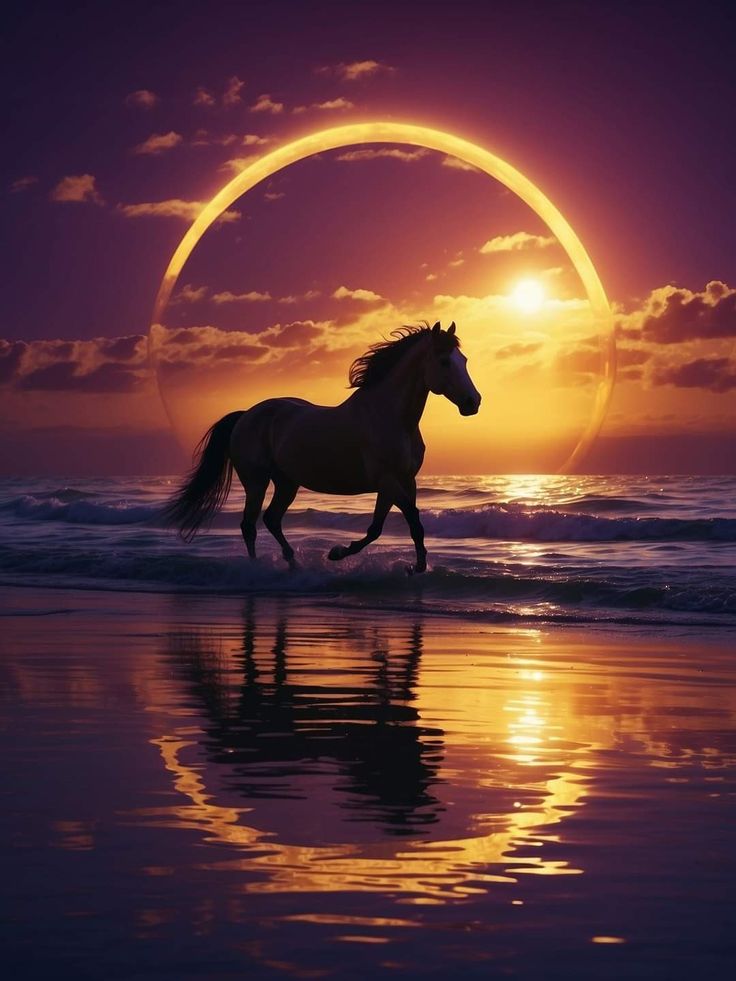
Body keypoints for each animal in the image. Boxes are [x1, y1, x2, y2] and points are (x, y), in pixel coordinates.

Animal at [163, 320, 480, 576]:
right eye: (444, 361)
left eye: (464, 359)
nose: (473, 402)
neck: (388, 416)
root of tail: (247, 415)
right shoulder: (387, 480)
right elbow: (404, 520)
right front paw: (339, 553)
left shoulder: (404, 481)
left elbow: (392, 526)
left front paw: (415, 566)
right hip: (256, 481)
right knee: (249, 524)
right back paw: (257, 570)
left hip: (287, 482)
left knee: (271, 519)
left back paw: (294, 564)